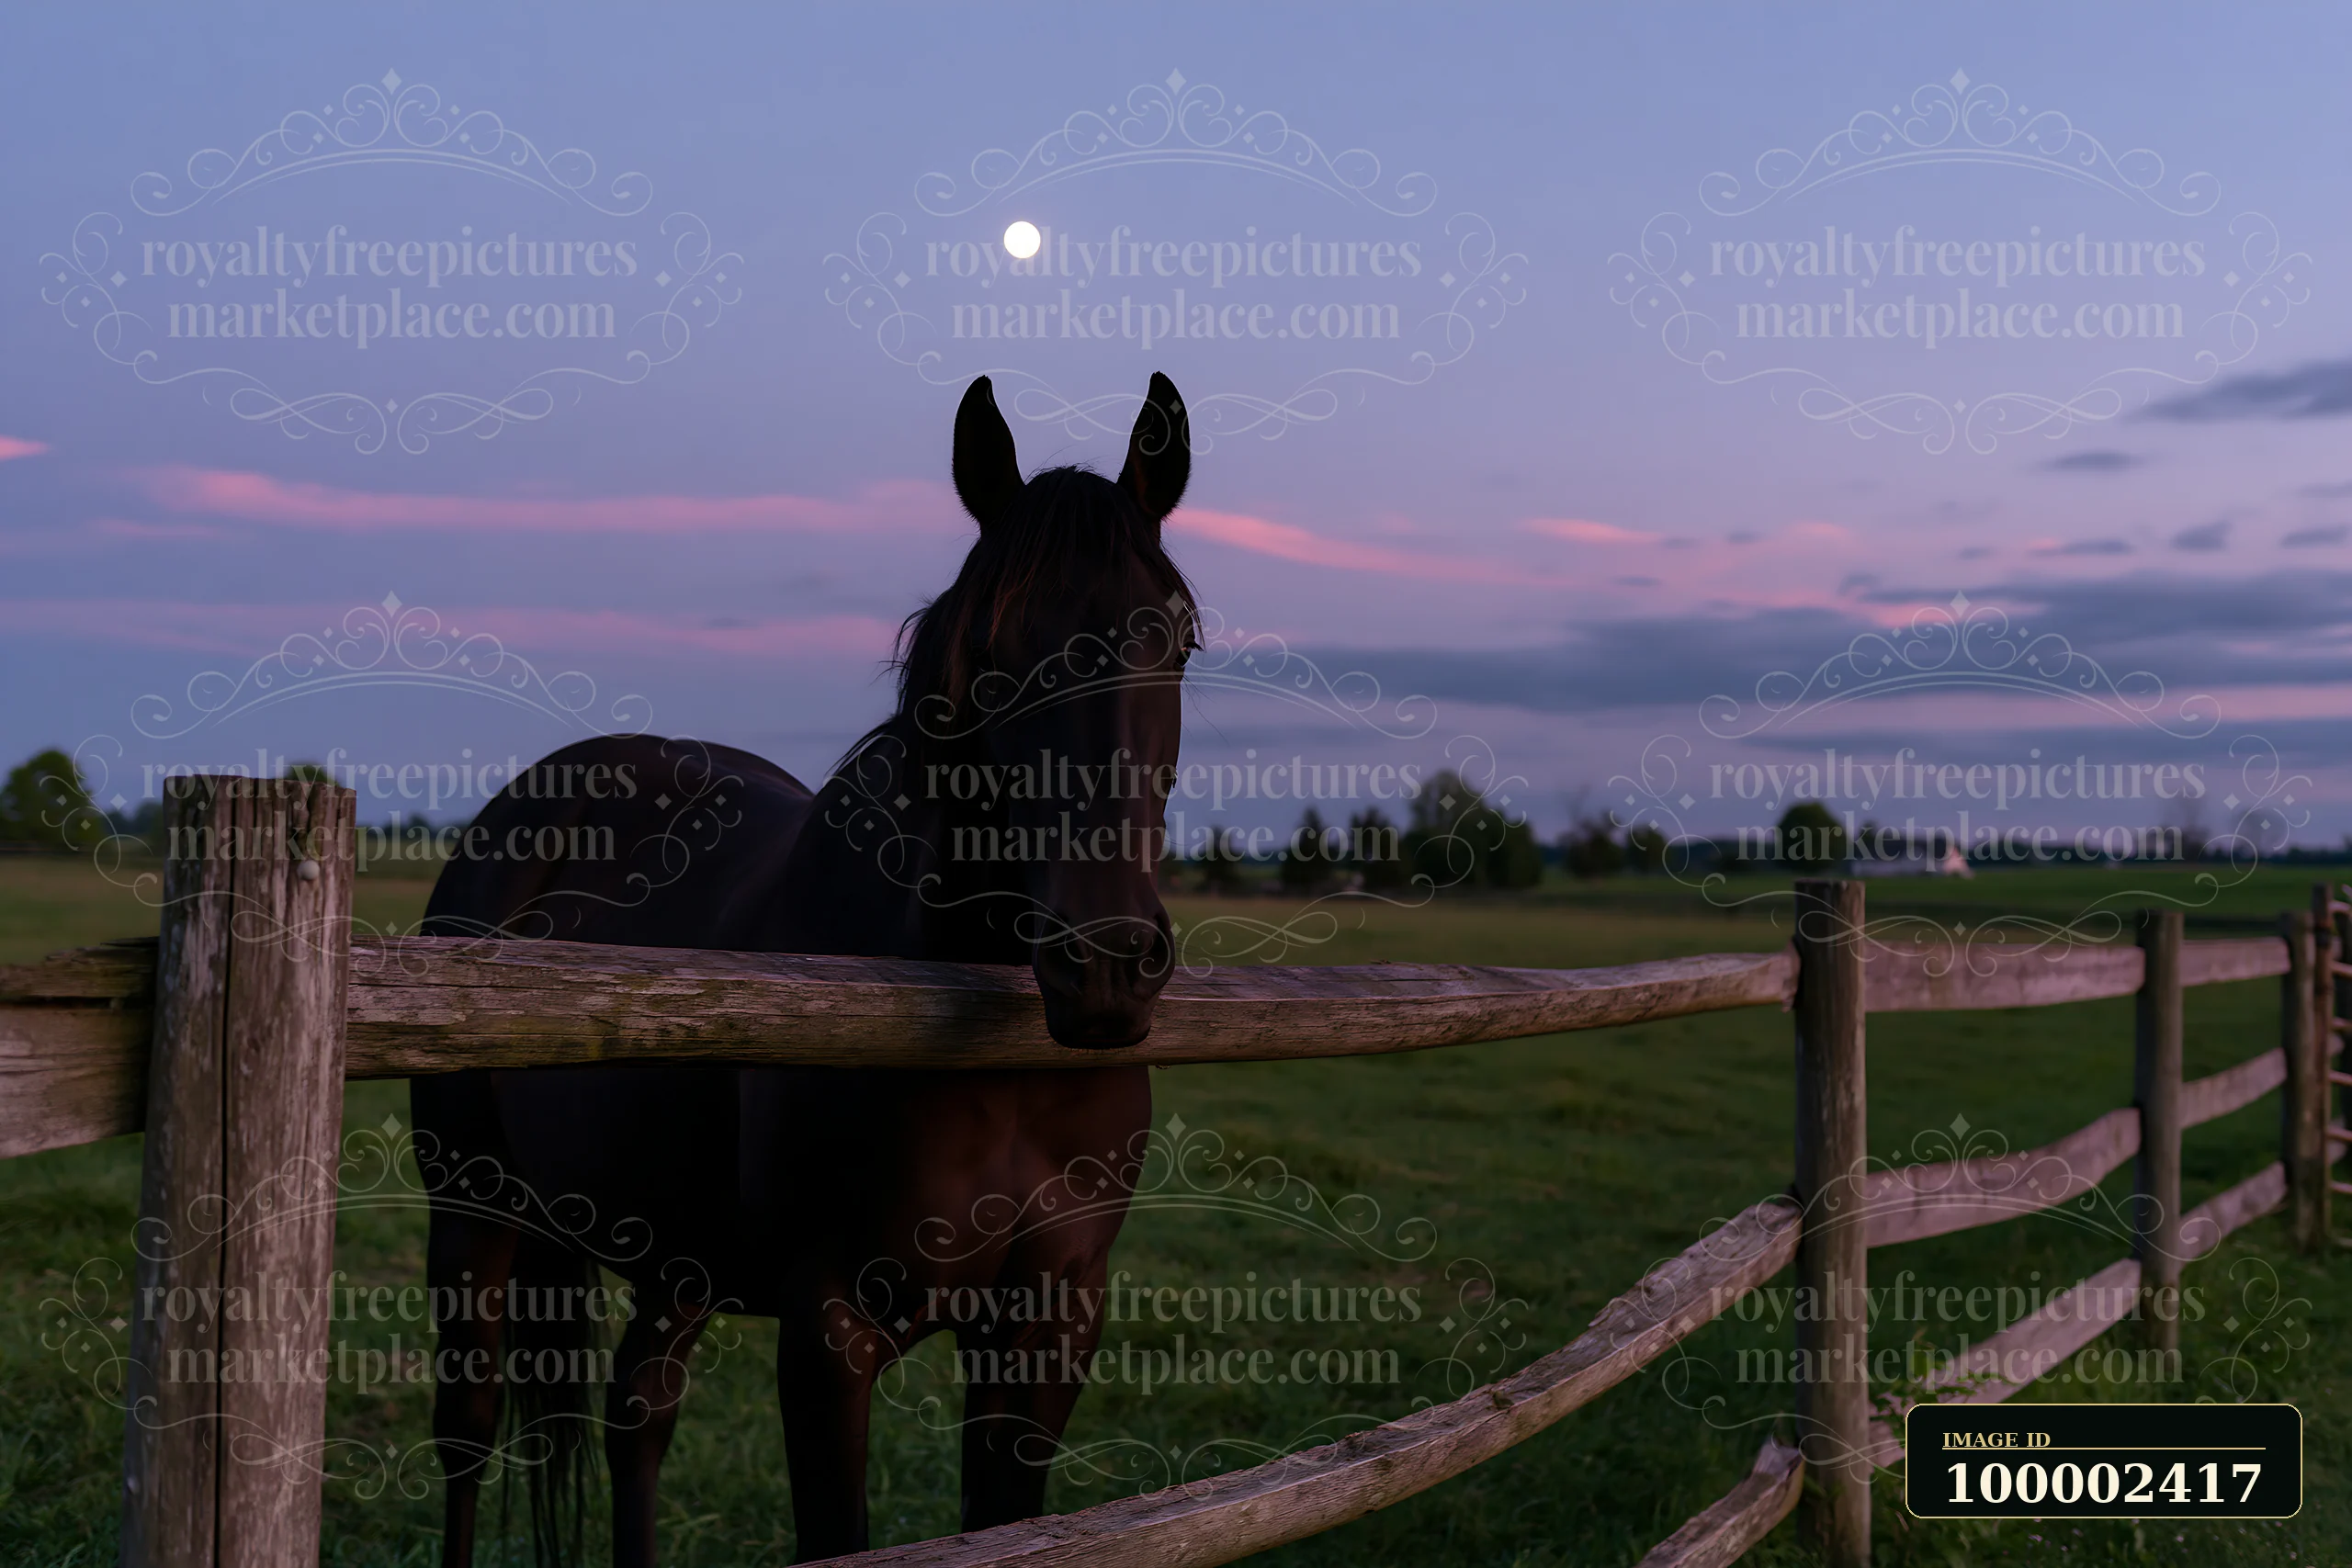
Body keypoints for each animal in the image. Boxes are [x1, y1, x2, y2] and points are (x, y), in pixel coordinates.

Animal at [413, 373, 1197, 1565]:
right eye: (989, 650)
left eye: (1180, 638)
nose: (1101, 965)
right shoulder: (831, 1329)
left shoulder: (1048, 1325)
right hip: (472, 1212)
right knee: (467, 1439)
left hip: (672, 1253)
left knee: (637, 1417)